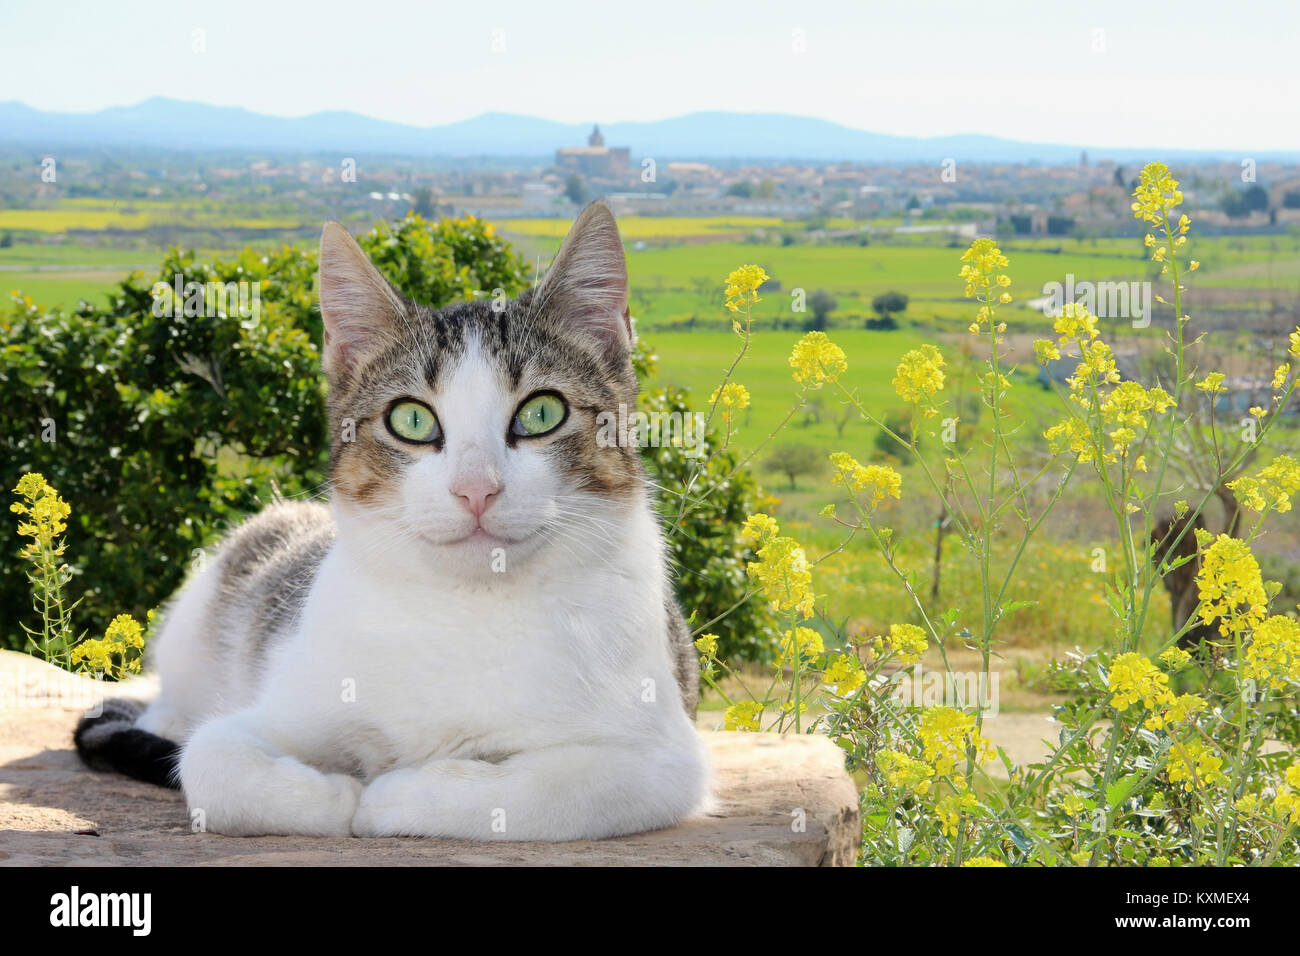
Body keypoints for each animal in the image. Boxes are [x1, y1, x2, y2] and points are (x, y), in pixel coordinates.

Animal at [76, 205, 712, 842]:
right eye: (411, 419)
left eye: (541, 413)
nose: (476, 487)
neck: (466, 607)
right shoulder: (272, 708)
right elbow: (212, 761)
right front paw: (337, 796)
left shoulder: (663, 758)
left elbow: (547, 791)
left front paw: (395, 795)